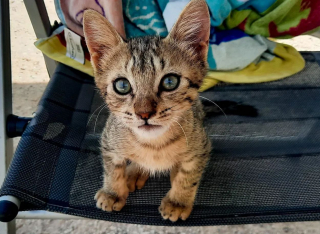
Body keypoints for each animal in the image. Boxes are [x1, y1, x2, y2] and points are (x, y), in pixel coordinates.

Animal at [84, 0, 211, 221]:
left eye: (170, 82)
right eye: (122, 86)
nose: (144, 113)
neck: (153, 146)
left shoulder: (201, 146)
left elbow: (189, 175)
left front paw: (178, 201)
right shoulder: (108, 139)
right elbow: (112, 167)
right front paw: (112, 192)